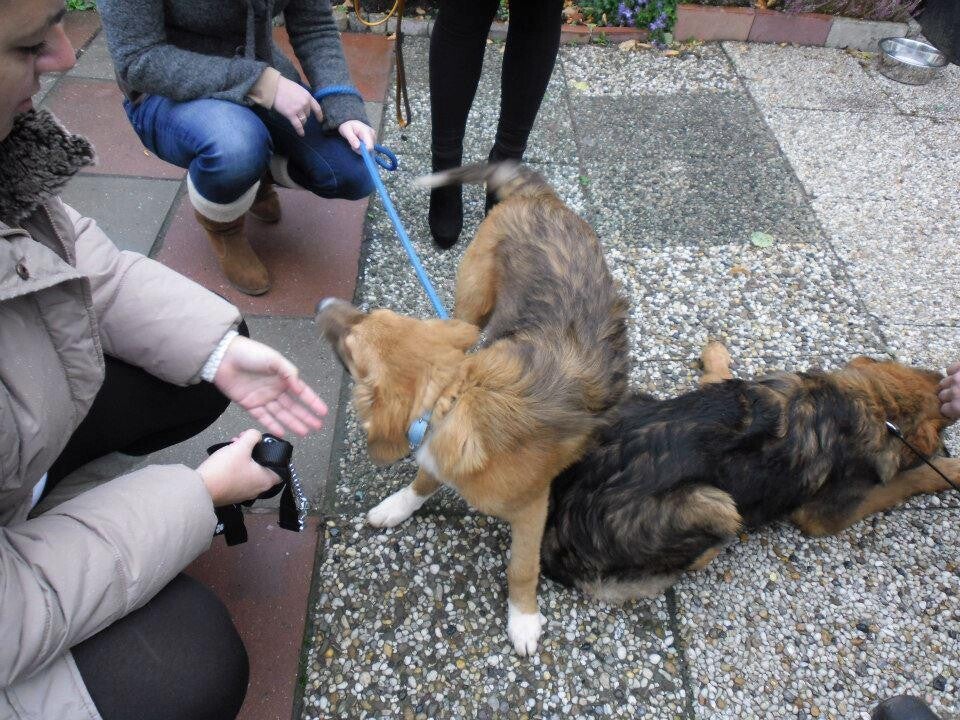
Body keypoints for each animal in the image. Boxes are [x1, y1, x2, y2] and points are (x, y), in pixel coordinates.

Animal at [316, 162, 629, 654]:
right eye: (370, 317)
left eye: (352, 347)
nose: (324, 303)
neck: (455, 394)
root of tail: (537, 197)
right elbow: (424, 479)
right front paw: (398, 506)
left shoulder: (532, 508)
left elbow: (522, 567)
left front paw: (523, 618)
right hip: (473, 304)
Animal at [541, 342, 959, 602]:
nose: (944, 380)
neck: (864, 401)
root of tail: (556, 533)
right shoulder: (827, 514)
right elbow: (903, 481)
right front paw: (949, 468)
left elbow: (716, 375)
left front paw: (715, 353)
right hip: (714, 503)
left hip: (623, 405)